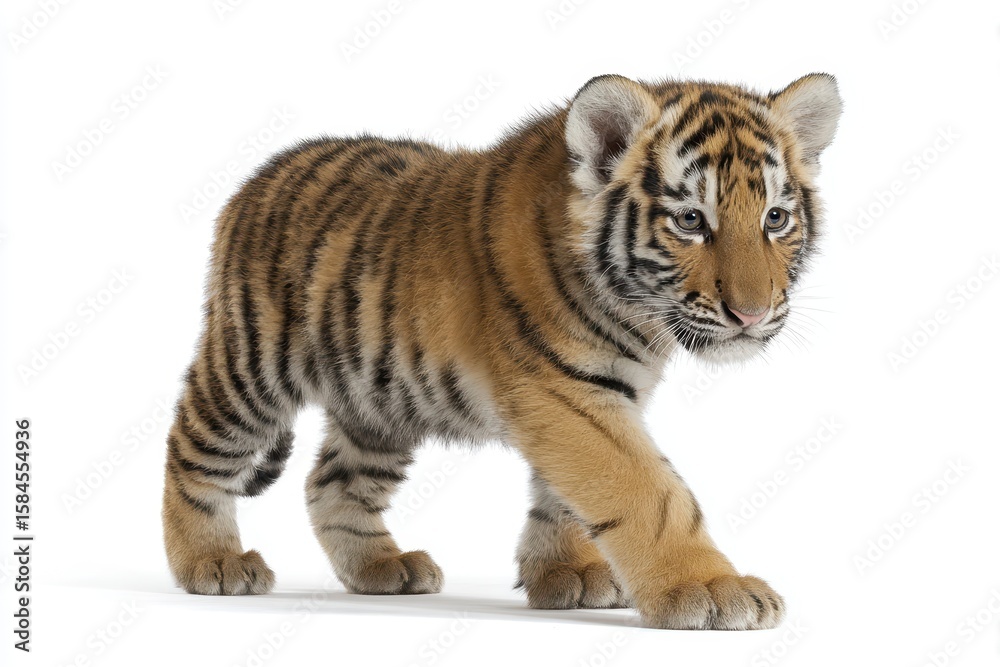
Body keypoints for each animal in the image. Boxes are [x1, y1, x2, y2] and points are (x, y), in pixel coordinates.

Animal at [161, 72, 842, 630]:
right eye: (692, 221)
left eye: (775, 218)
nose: (752, 314)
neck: (637, 315)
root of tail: (259, 176)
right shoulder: (565, 390)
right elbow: (647, 491)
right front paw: (712, 589)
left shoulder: (592, 393)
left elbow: (563, 498)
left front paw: (568, 574)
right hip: (250, 366)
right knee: (192, 448)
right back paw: (211, 562)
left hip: (377, 398)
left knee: (331, 483)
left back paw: (382, 569)